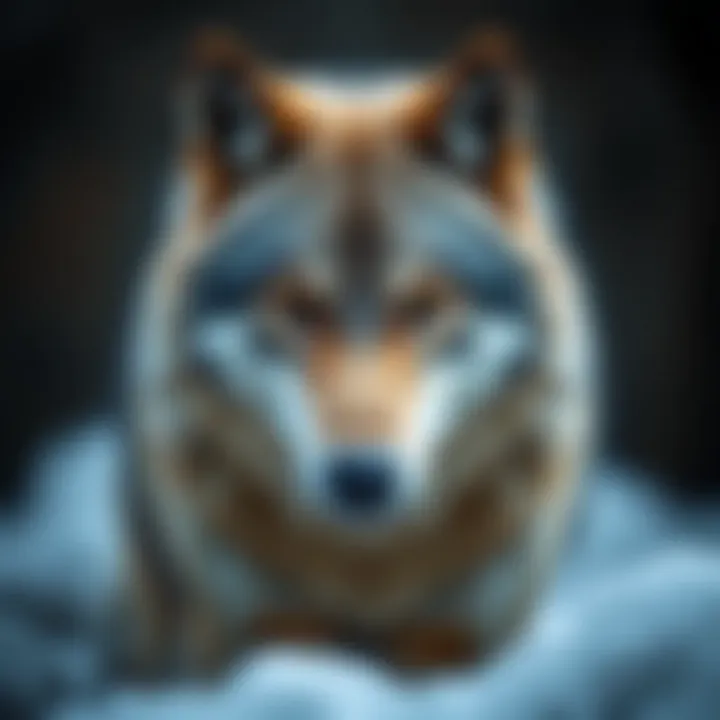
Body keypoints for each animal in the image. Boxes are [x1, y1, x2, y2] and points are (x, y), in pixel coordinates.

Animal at [123, 26, 594, 676]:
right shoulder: (271, 622)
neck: (367, 570)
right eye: (300, 309)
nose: (362, 478)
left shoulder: (453, 634)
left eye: (423, 307)